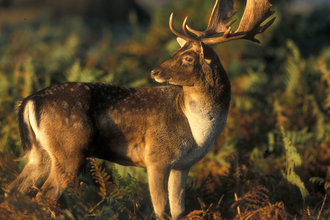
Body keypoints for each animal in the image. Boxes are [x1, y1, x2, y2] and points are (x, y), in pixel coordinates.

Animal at [5, 0, 274, 219]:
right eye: (177, 51)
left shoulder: (182, 165)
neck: (198, 132)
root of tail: (28, 102)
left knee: (13, 191)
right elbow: (161, 210)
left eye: (187, 58)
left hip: (41, 153)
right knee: (44, 196)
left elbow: (178, 211)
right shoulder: (156, 157)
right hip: (70, 149)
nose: (155, 71)